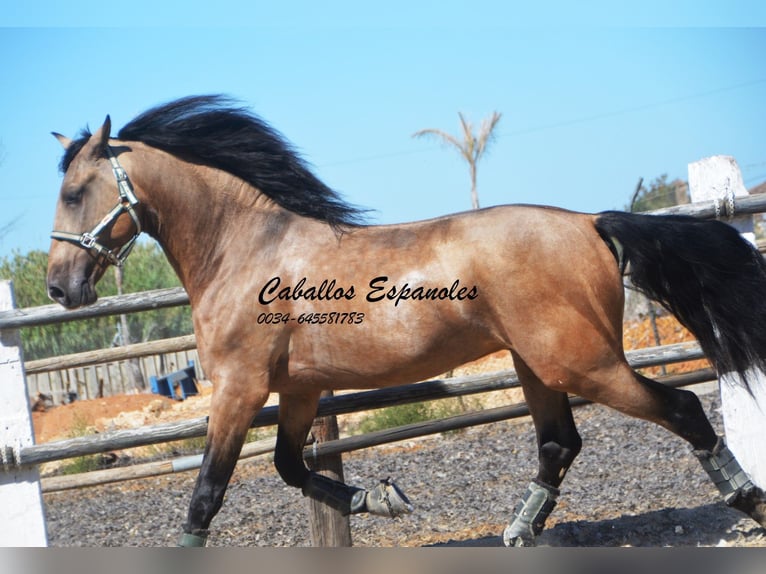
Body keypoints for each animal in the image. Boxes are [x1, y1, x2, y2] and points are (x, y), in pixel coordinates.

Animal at [46, 97, 766, 552]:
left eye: (75, 192)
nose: (60, 288)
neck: (244, 250)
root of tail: (589, 222)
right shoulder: (298, 389)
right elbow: (291, 467)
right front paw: (385, 499)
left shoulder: (239, 389)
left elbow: (207, 493)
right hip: (537, 363)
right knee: (560, 443)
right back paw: (519, 533)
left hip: (581, 361)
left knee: (680, 409)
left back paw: (748, 502)